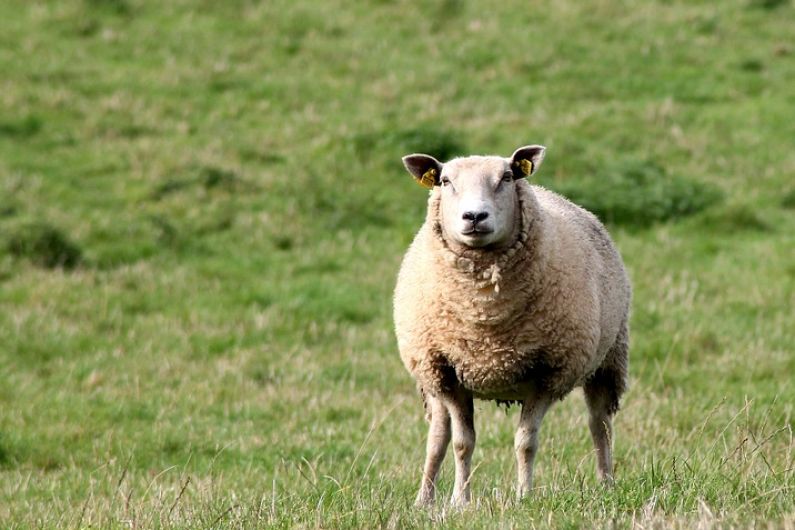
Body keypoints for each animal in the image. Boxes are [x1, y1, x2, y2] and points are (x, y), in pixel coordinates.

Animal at [394, 143, 632, 504]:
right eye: (446, 181)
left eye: (506, 177)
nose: (474, 217)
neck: (485, 317)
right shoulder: (447, 371)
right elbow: (461, 443)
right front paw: (460, 501)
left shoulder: (548, 372)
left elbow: (526, 442)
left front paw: (524, 496)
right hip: (430, 374)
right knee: (437, 436)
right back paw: (424, 499)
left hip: (608, 360)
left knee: (599, 424)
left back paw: (607, 484)